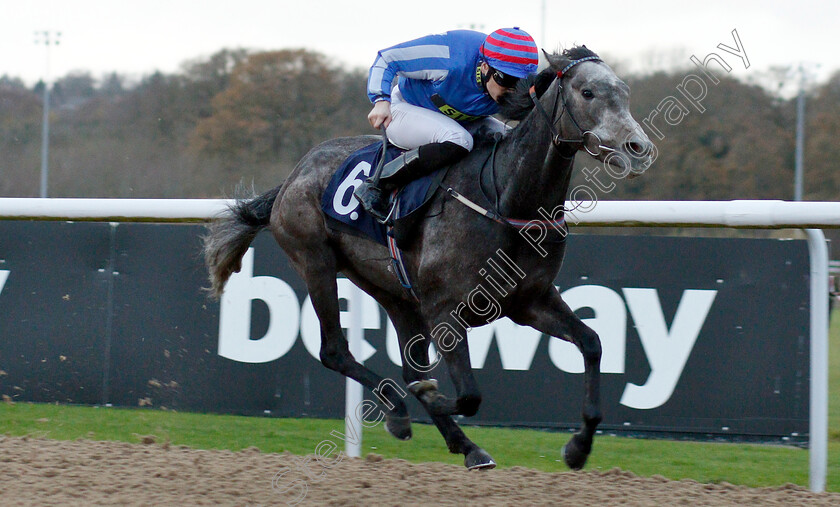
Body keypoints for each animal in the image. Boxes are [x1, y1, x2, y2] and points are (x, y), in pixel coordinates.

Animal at [203, 47, 656, 472]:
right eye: (588, 92)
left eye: (625, 91)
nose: (638, 149)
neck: (505, 197)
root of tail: (292, 177)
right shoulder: (446, 311)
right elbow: (468, 395)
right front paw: (428, 399)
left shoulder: (531, 301)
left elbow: (592, 343)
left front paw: (578, 447)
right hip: (315, 263)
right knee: (335, 351)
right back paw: (401, 410)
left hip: (393, 291)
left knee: (405, 365)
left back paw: (461, 443)